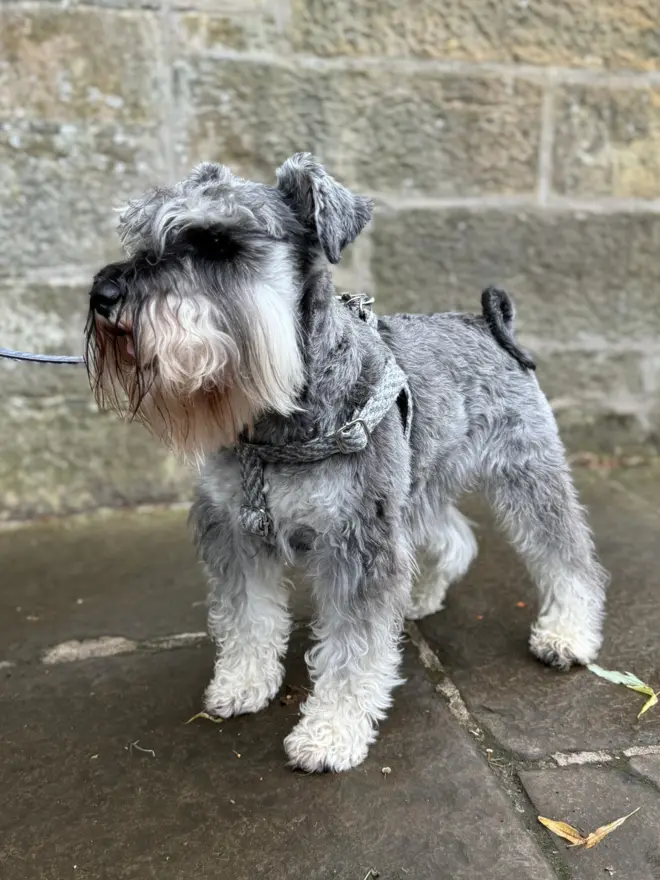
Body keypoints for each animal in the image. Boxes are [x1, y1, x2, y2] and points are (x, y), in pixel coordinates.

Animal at [86, 155, 608, 772]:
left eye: (218, 244)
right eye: (142, 235)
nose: (105, 294)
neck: (277, 416)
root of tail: (487, 326)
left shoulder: (359, 539)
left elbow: (352, 652)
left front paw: (330, 734)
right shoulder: (235, 531)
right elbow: (247, 618)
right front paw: (242, 684)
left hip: (528, 472)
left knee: (565, 554)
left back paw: (568, 635)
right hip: (417, 485)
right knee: (455, 537)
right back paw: (420, 596)